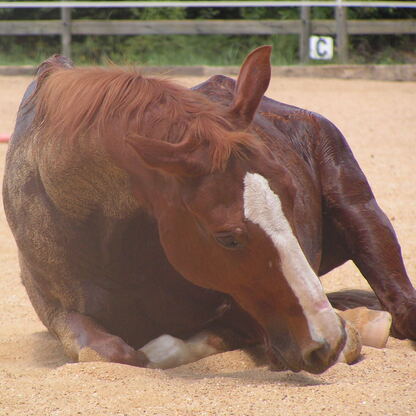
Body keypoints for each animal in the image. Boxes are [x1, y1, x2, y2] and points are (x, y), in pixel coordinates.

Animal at [2, 47, 412, 376]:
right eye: (227, 238)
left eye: (293, 197)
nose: (325, 339)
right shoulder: (58, 313)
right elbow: (104, 352)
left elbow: (172, 346)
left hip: (363, 217)